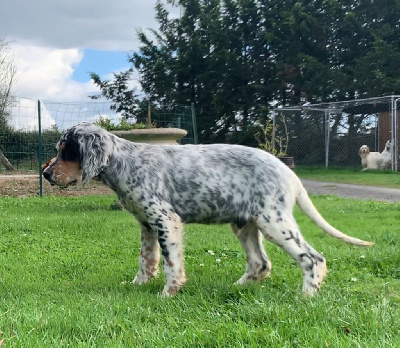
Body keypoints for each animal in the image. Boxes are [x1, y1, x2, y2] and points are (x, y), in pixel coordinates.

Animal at [42, 122, 374, 296]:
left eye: (67, 151)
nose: (45, 174)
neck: (125, 162)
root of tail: (289, 172)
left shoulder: (165, 220)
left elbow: (170, 263)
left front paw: (168, 293)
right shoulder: (146, 225)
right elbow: (146, 260)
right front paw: (138, 285)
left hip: (274, 221)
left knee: (312, 258)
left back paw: (305, 296)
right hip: (245, 224)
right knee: (260, 263)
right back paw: (237, 288)